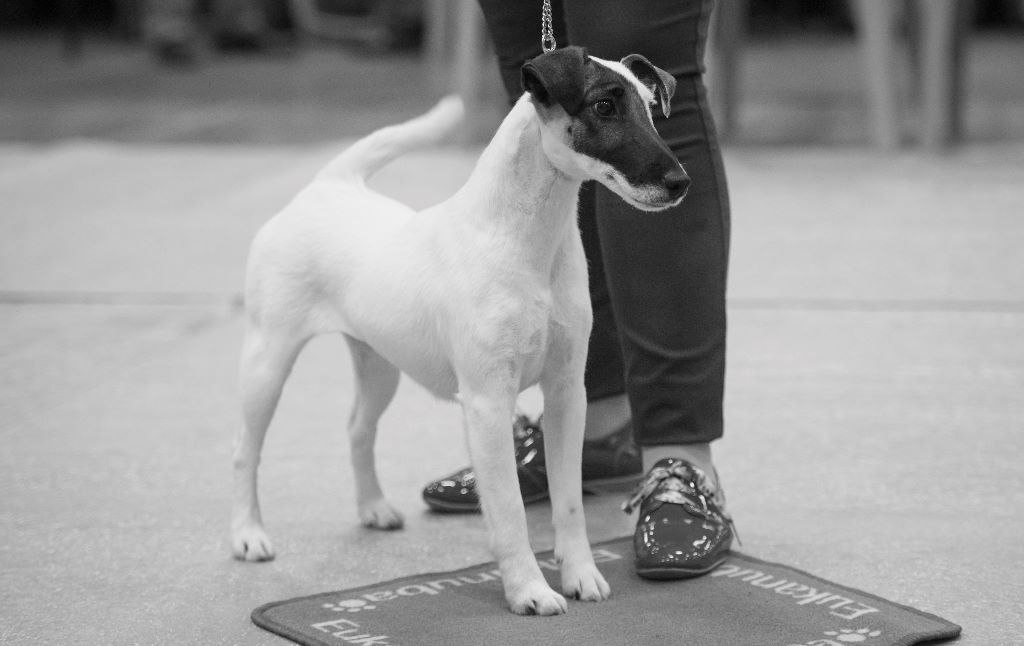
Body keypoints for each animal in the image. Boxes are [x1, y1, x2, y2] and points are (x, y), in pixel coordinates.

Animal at [232, 46, 692, 618]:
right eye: (604, 105)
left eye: (653, 107)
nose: (679, 182)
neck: (526, 245)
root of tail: (328, 188)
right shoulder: (488, 403)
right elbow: (510, 510)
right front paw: (529, 591)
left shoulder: (567, 394)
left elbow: (568, 503)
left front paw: (581, 576)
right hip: (267, 360)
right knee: (246, 450)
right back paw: (249, 535)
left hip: (379, 364)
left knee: (359, 428)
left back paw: (374, 507)